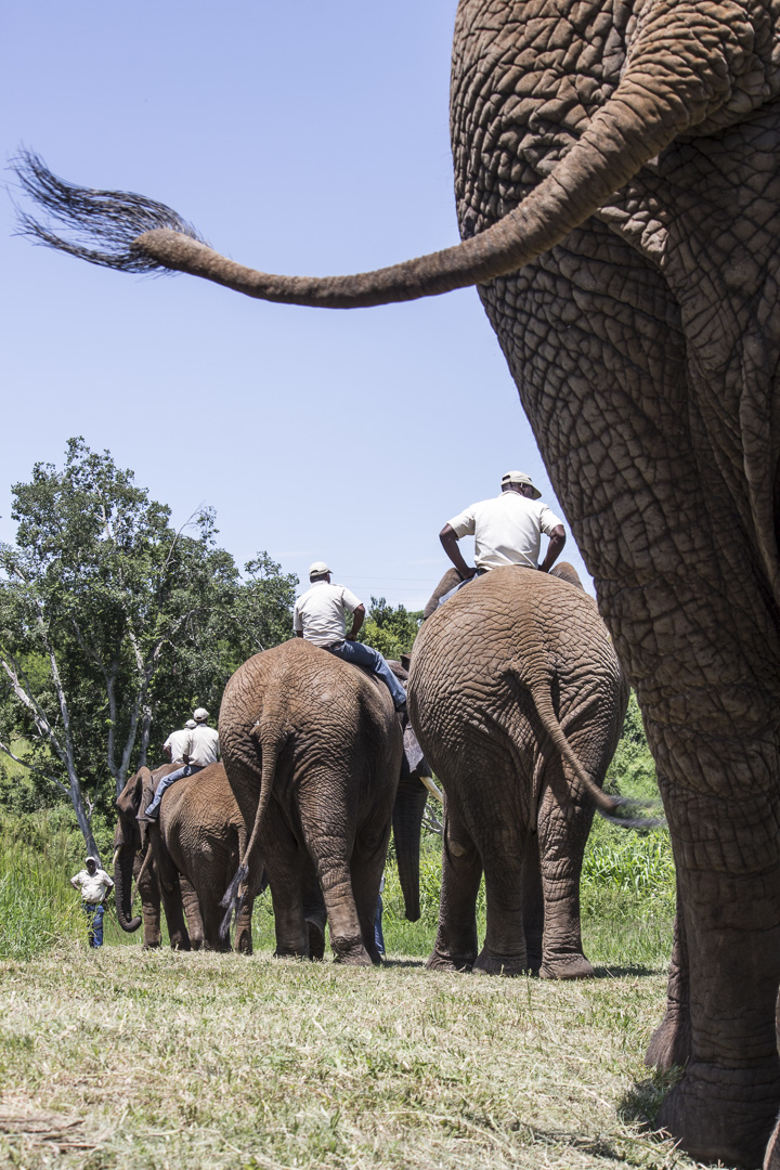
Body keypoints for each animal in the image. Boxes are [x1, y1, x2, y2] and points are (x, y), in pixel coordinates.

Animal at [114, 762, 257, 954]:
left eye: (120, 810)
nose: (135, 918)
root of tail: (238, 817)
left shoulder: (156, 824)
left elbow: (166, 880)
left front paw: (178, 946)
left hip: (202, 837)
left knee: (209, 888)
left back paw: (213, 948)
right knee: (247, 888)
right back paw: (240, 950)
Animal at [218, 636, 428, 964]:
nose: (412, 917)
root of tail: (273, 706)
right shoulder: (387, 754)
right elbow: (373, 840)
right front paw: (373, 958)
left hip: (244, 747)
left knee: (278, 847)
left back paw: (291, 953)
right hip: (327, 747)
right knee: (328, 843)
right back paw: (356, 956)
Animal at [409, 561, 626, 982]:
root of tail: (532, 651)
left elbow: (458, 842)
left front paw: (446, 965)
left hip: (471, 709)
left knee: (499, 831)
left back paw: (498, 966)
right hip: (588, 698)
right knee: (560, 825)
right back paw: (566, 968)